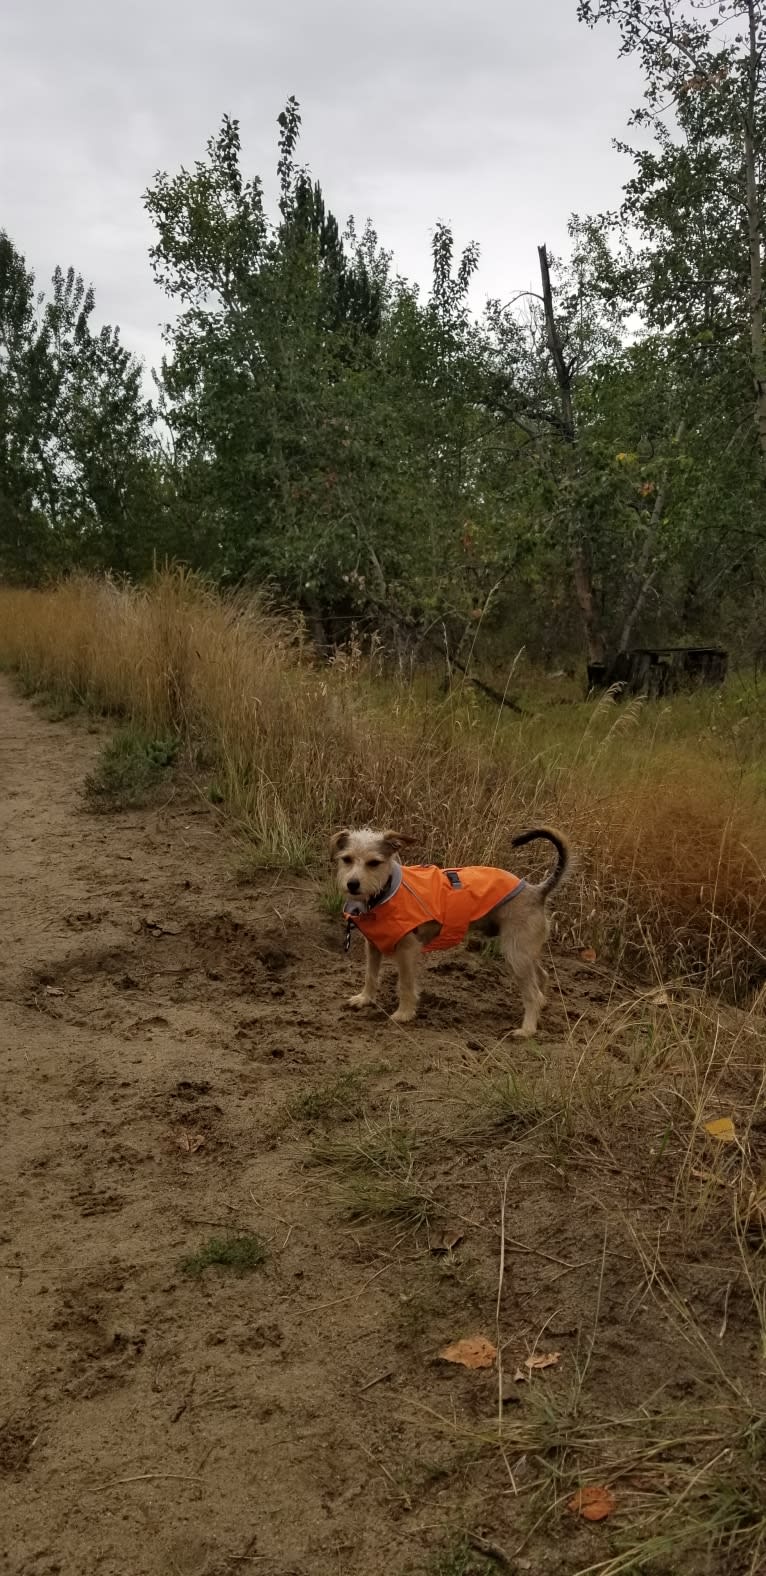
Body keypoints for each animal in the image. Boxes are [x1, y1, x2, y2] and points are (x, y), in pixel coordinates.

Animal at [332, 825, 570, 1033]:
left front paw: (404, 1013)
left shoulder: (408, 950)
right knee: (542, 977)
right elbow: (370, 975)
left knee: (533, 994)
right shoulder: (373, 946)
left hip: (515, 954)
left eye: (374, 863)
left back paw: (527, 1029)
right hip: (523, 952)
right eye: (347, 859)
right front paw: (365, 999)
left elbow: (406, 984)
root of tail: (536, 891)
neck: (384, 893)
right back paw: (541, 1010)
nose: (352, 884)